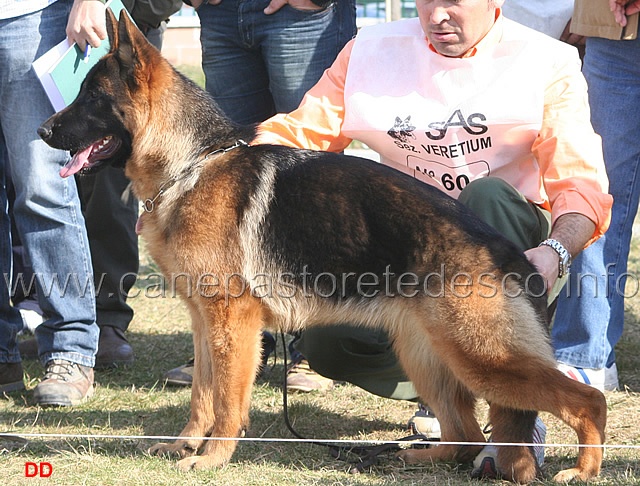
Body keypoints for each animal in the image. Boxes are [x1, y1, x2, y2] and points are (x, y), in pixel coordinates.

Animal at [37, 9, 608, 484]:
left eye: (92, 98)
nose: (41, 130)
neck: (191, 163)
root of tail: (508, 252)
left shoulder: (233, 322)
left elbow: (226, 402)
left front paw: (213, 457)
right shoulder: (204, 322)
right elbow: (201, 394)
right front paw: (184, 446)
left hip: (481, 356)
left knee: (587, 399)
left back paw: (581, 469)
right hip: (429, 355)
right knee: (465, 435)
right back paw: (415, 456)